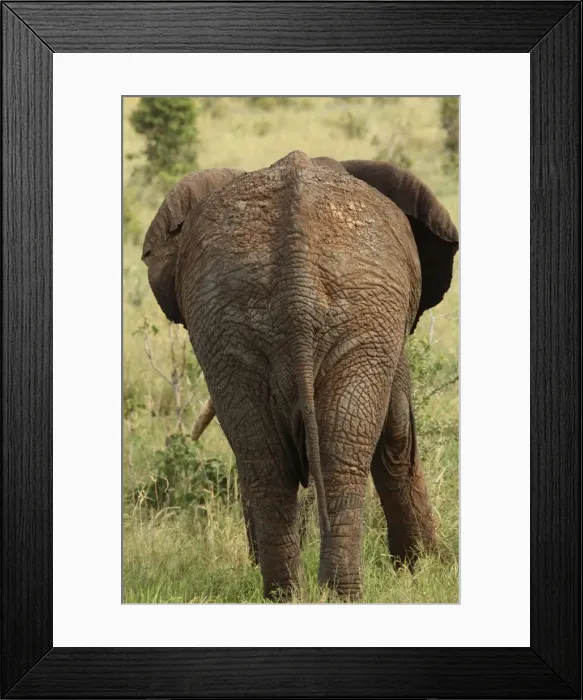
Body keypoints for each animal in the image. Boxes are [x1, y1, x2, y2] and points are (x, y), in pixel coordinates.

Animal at [142, 151, 458, 600]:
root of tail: (297, 283)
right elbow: (398, 432)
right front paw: (424, 568)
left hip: (229, 326)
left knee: (268, 462)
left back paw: (286, 596)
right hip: (353, 319)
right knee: (338, 456)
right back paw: (341, 597)